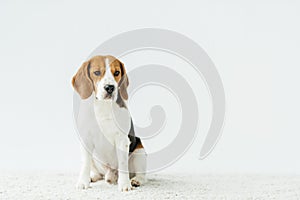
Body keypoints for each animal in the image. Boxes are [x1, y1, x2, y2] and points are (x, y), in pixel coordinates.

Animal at [72, 55, 148, 192]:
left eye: (116, 72)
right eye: (97, 72)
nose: (110, 87)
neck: (103, 106)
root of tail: (110, 173)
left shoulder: (122, 140)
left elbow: (123, 164)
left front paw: (124, 184)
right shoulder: (86, 139)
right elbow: (85, 164)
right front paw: (83, 182)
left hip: (139, 152)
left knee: (142, 176)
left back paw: (135, 180)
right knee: (98, 174)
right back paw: (93, 177)